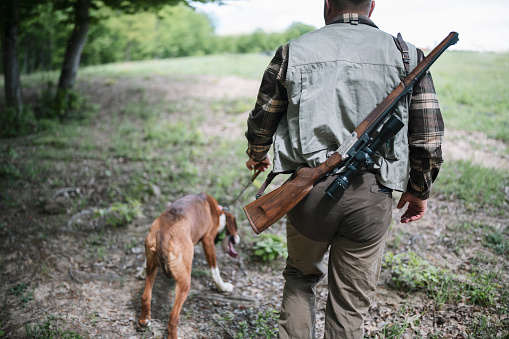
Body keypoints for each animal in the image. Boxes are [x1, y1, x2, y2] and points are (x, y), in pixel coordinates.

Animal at [138, 193, 239, 338]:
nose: (238, 240)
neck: (218, 211)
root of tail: (163, 234)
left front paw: (140, 270)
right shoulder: (208, 241)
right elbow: (215, 270)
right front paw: (223, 287)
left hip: (153, 270)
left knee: (146, 296)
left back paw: (144, 321)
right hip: (185, 282)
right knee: (173, 316)